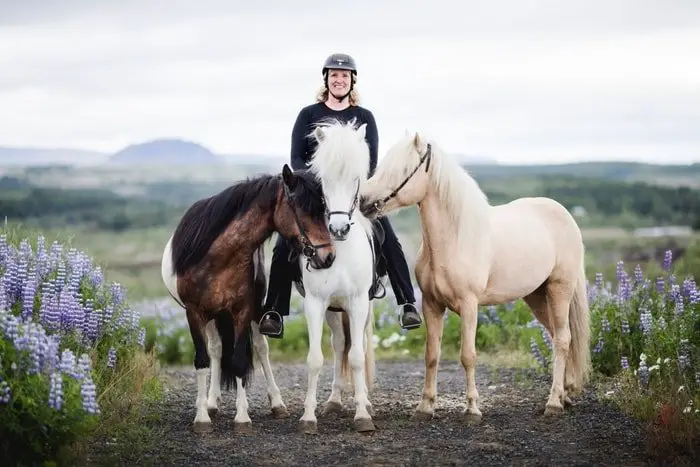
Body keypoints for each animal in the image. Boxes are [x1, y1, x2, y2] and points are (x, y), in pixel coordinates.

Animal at [161, 165, 336, 436]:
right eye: (303, 209)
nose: (328, 256)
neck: (217, 256)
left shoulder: (242, 310)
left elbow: (240, 361)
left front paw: (242, 418)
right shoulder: (194, 312)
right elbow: (202, 361)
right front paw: (201, 417)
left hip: (252, 312)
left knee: (261, 349)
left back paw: (277, 403)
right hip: (212, 316)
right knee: (216, 350)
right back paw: (212, 402)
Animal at [292, 120, 386, 436]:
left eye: (356, 178)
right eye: (324, 179)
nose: (339, 228)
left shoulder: (358, 302)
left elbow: (357, 357)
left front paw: (362, 415)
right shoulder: (315, 303)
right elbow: (314, 359)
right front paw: (308, 416)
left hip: (363, 308)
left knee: (358, 347)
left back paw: (365, 401)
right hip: (334, 310)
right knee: (339, 344)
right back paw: (333, 401)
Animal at [356, 132, 592, 424]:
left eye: (403, 168)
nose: (363, 201)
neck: (455, 238)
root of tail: (565, 214)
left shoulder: (469, 305)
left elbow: (468, 356)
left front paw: (472, 409)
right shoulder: (432, 305)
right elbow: (431, 355)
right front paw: (425, 407)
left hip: (560, 289)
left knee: (562, 340)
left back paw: (554, 403)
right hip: (536, 296)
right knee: (560, 335)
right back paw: (565, 394)